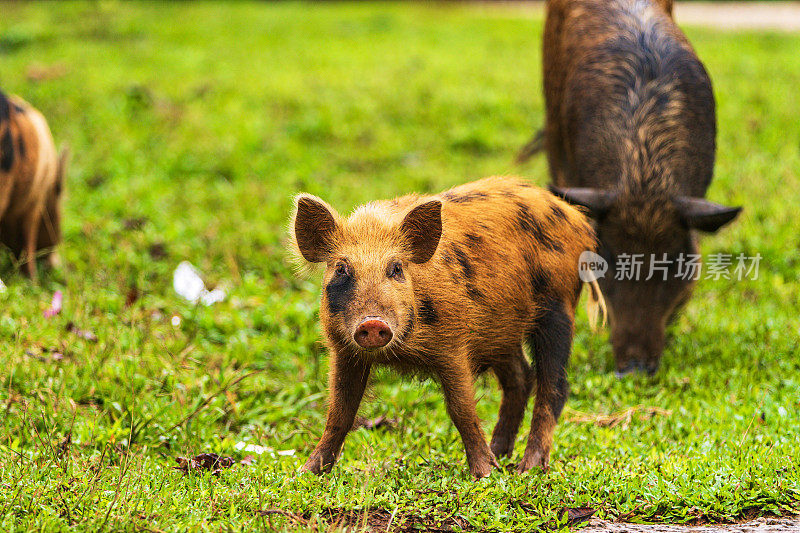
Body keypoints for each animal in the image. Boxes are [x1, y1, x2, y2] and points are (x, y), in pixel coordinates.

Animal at [290, 177, 604, 476]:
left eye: (396, 268)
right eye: (341, 268)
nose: (373, 323)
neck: (400, 353)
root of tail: (575, 217)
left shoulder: (453, 344)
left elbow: (461, 408)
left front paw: (484, 474)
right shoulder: (344, 351)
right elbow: (339, 412)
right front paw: (305, 473)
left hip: (559, 307)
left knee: (555, 385)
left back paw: (529, 468)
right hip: (502, 331)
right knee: (521, 378)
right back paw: (500, 455)